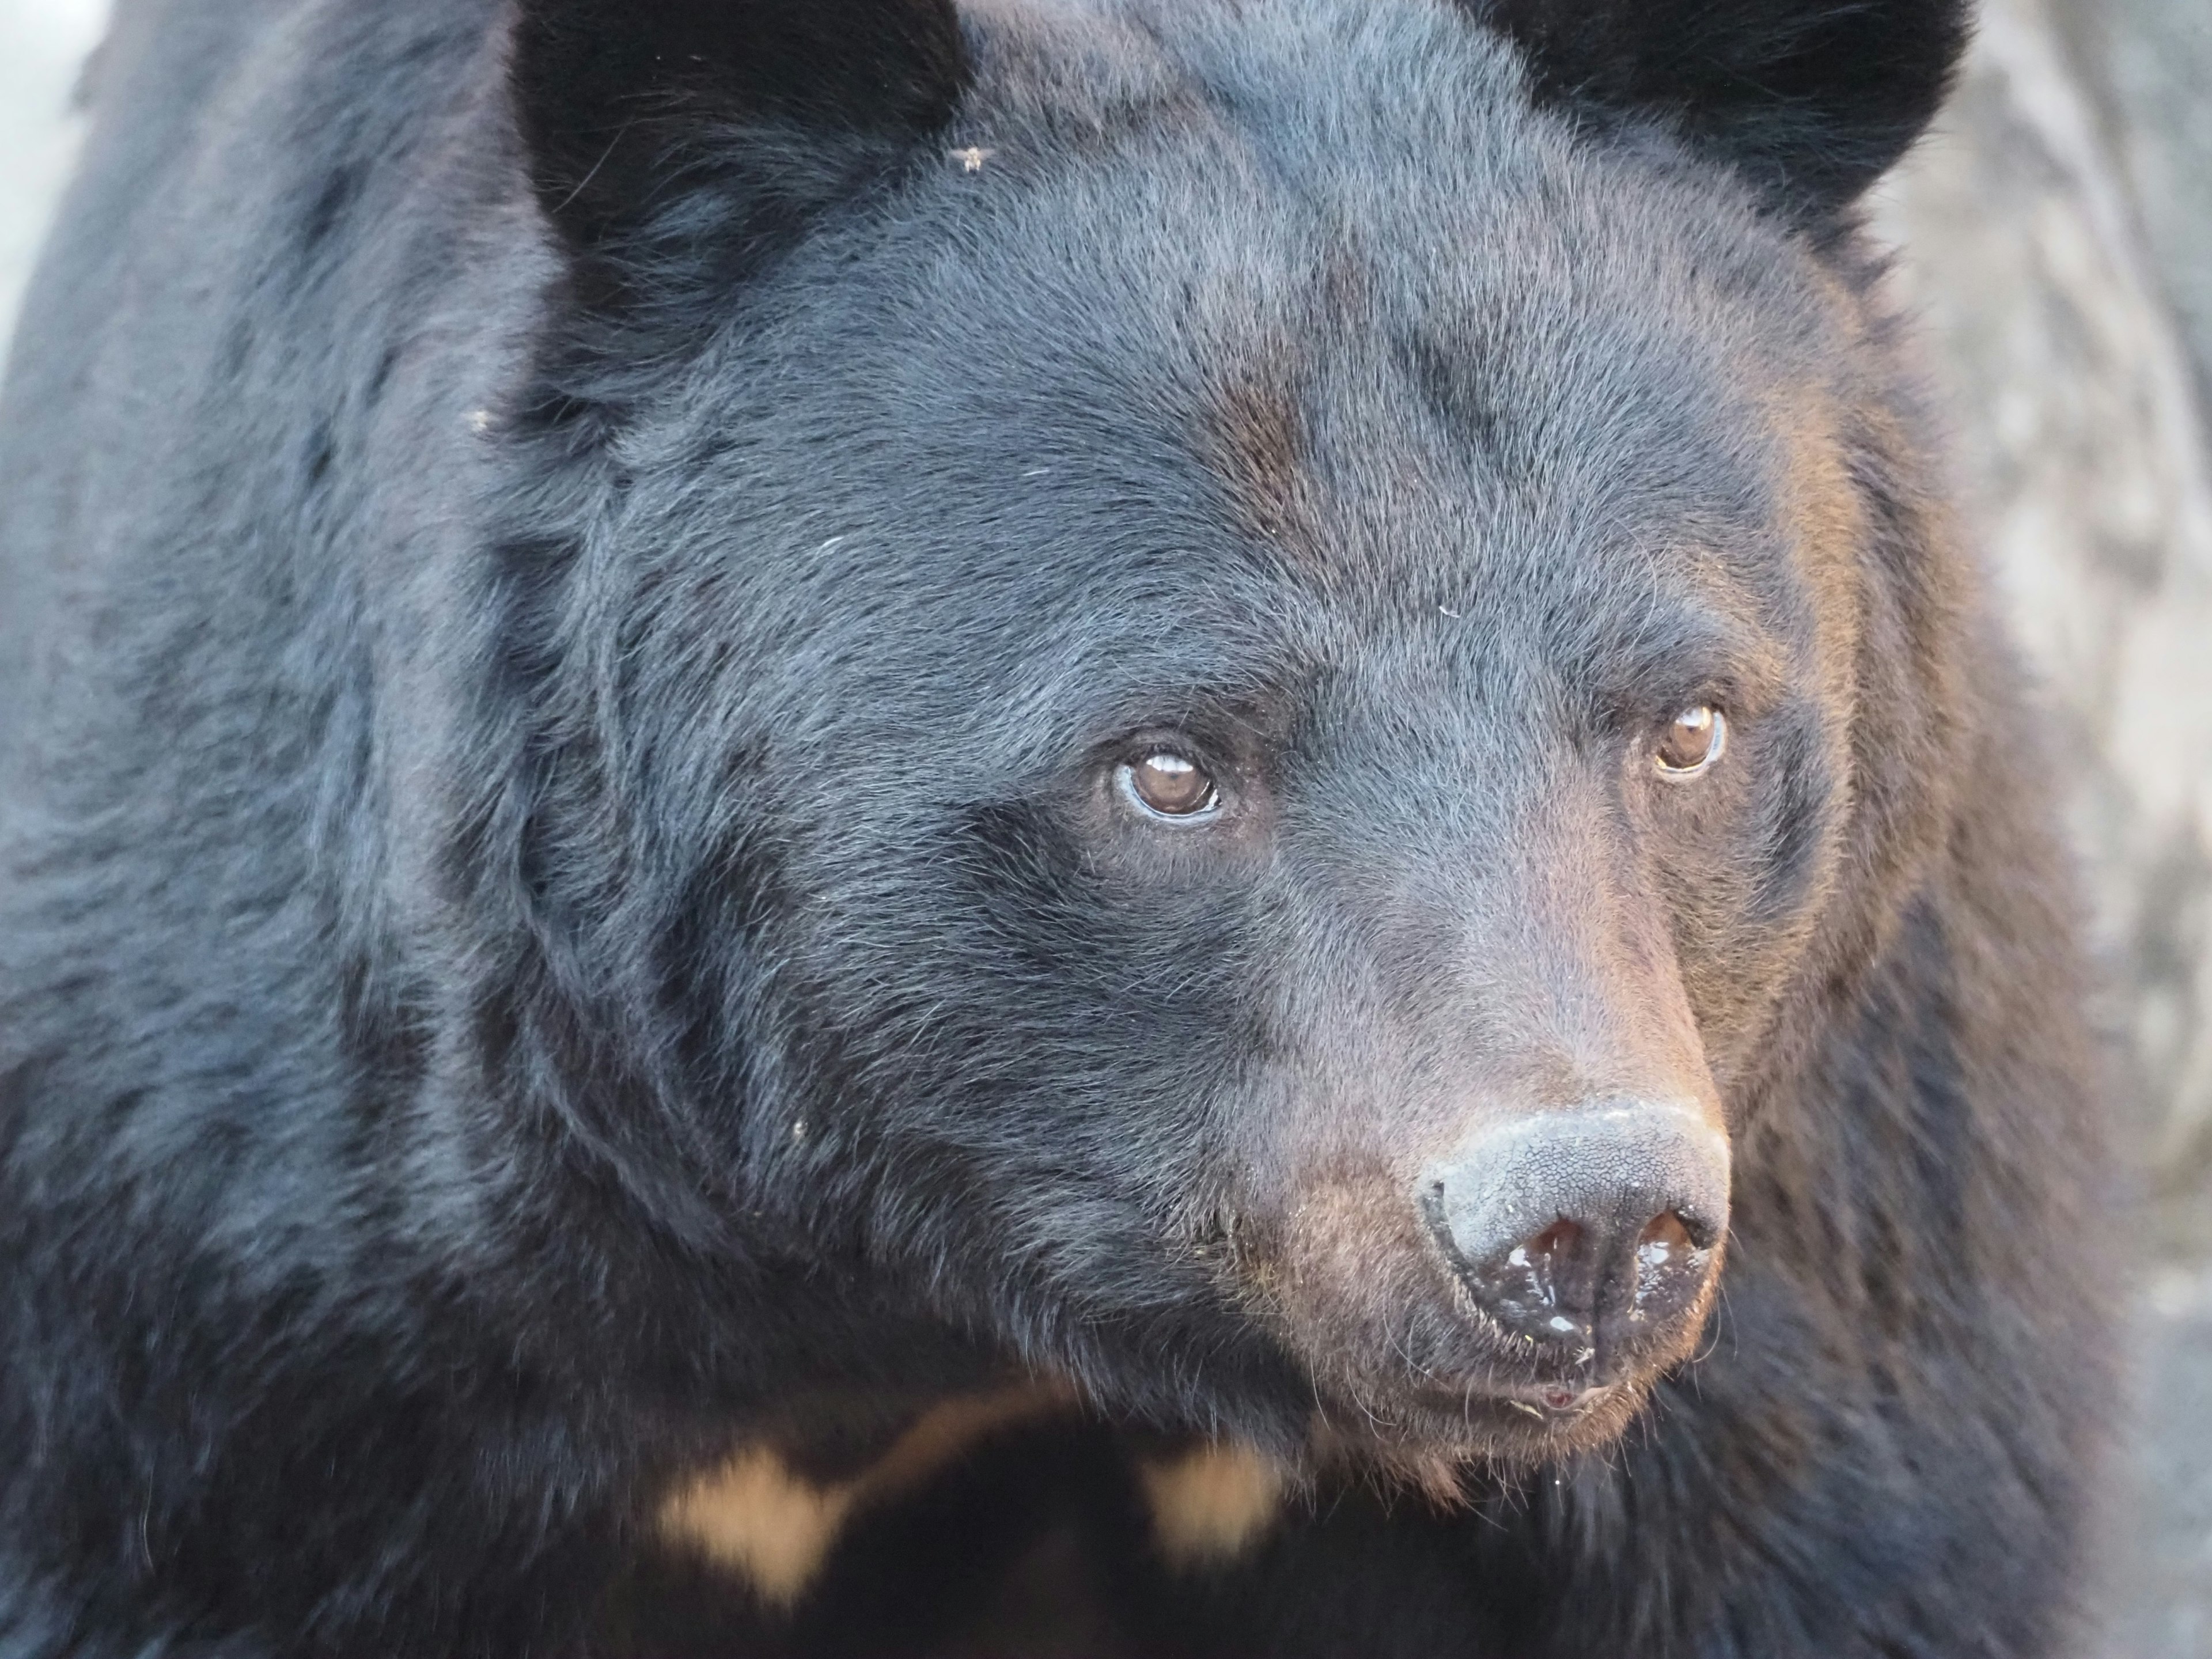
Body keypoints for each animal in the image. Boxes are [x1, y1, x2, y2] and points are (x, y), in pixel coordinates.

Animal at [0, 0, 2105, 1654]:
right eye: (1167, 766)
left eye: (1689, 727)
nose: (1585, 1227)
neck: (943, 1293)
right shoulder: (256, 1279)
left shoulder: (1839, 1219)